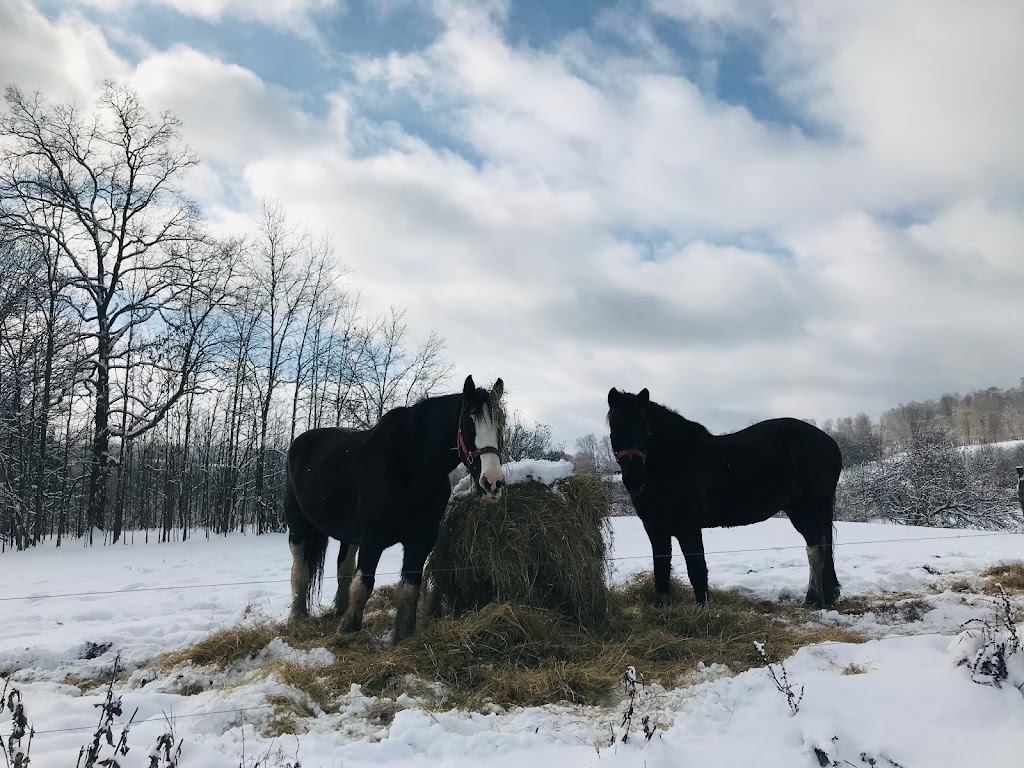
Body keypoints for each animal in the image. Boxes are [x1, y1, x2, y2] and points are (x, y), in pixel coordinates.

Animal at [282, 376, 505, 638]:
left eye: (500, 425)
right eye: (469, 424)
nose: (492, 482)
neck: (408, 466)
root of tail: (299, 443)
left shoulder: (422, 538)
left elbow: (409, 588)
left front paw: (403, 633)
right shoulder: (372, 537)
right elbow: (363, 584)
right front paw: (348, 628)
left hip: (349, 535)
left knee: (343, 567)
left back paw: (339, 610)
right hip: (298, 526)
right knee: (300, 570)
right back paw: (298, 617)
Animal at [606, 387, 839, 610]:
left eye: (644, 426)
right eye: (614, 426)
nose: (633, 478)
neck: (676, 461)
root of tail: (831, 443)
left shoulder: (688, 528)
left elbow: (697, 570)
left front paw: (704, 611)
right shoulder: (655, 529)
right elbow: (661, 571)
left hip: (811, 506)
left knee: (815, 549)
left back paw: (813, 599)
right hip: (798, 509)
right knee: (823, 543)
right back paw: (829, 594)